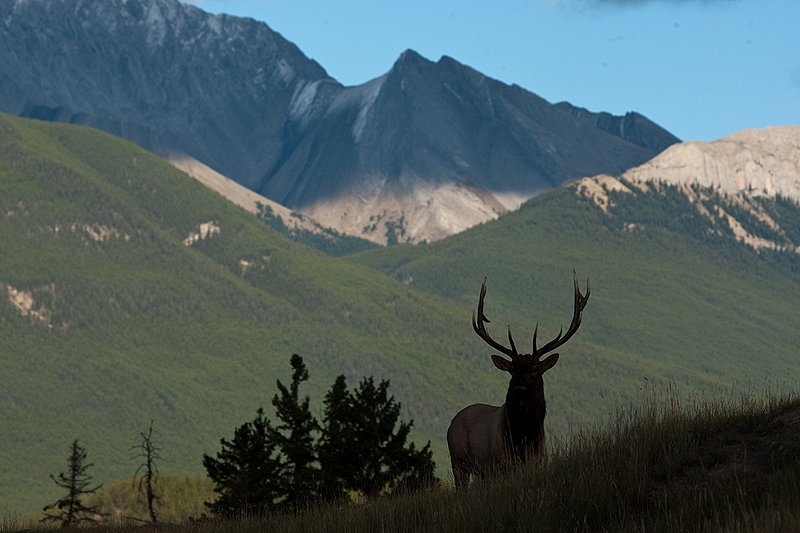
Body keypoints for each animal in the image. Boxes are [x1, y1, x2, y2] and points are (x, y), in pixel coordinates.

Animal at [447, 271, 590, 487]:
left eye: (535, 368)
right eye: (513, 370)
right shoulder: (500, 463)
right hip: (459, 461)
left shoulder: (537, 461)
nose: (520, 384)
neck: (524, 437)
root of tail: (451, 423)